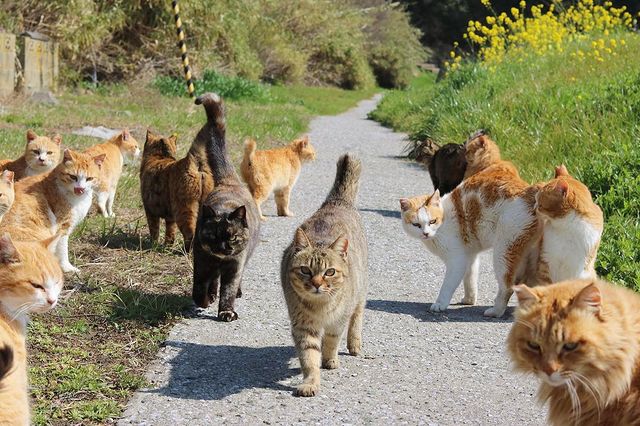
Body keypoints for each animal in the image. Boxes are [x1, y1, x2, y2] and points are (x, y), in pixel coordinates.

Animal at [190, 91, 260, 322]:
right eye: (213, 236)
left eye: (233, 237)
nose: (222, 247)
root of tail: (229, 180)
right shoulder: (202, 264)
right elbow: (199, 288)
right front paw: (205, 301)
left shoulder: (234, 268)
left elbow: (228, 291)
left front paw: (226, 311)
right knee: (212, 282)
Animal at [282, 153, 368, 396]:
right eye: (305, 270)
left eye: (329, 272)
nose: (317, 283)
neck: (320, 308)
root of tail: (337, 201)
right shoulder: (303, 326)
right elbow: (309, 356)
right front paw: (311, 381)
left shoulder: (338, 320)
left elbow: (331, 340)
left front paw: (330, 360)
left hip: (360, 294)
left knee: (357, 317)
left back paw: (354, 343)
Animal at [400, 161, 540, 318]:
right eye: (416, 225)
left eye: (432, 221)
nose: (425, 233)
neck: (444, 220)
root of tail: (529, 189)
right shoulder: (470, 256)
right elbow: (470, 279)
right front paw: (469, 299)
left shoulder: (457, 260)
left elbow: (448, 285)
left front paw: (440, 304)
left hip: (503, 252)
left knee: (507, 287)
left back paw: (495, 311)